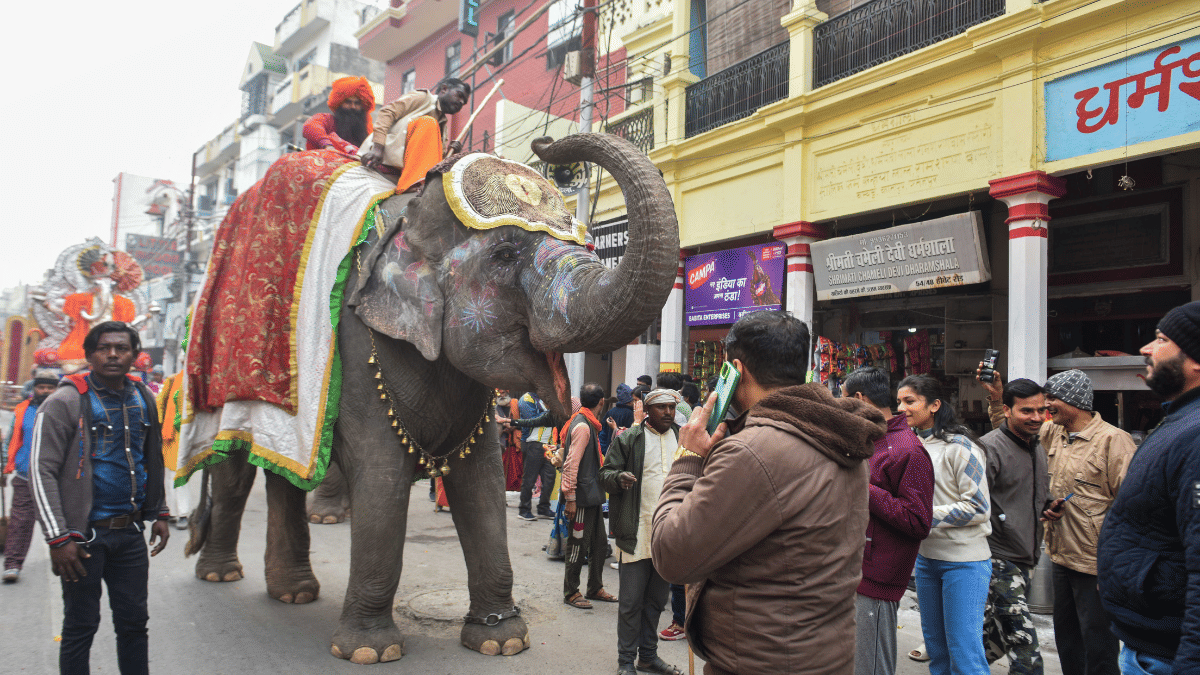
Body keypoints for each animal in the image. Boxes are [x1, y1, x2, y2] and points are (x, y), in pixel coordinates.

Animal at [185, 133, 679, 664]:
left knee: (283, 477)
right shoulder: (360, 346)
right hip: (222, 377)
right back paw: (222, 574)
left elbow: (482, 484)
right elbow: (382, 478)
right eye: (504, 255)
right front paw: (370, 651)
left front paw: (502, 639)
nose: (544, 142)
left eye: (587, 244)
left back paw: (293, 592)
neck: (410, 219)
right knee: (234, 472)